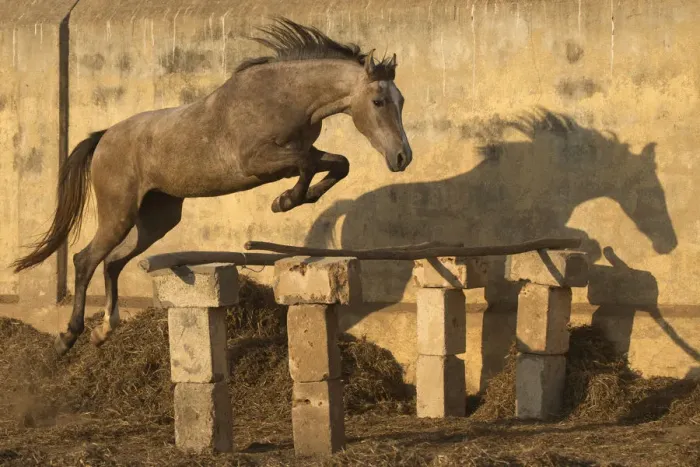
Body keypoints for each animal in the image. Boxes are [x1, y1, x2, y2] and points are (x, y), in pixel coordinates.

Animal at [11, 18, 413, 356]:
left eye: (401, 100)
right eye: (378, 101)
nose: (401, 157)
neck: (283, 97)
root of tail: (104, 136)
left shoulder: (295, 154)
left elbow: (336, 163)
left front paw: (294, 198)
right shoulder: (258, 161)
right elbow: (307, 163)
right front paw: (285, 201)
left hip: (156, 219)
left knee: (112, 262)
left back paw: (104, 330)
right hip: (118, 213)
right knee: (86, 259)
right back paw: (68, 337)